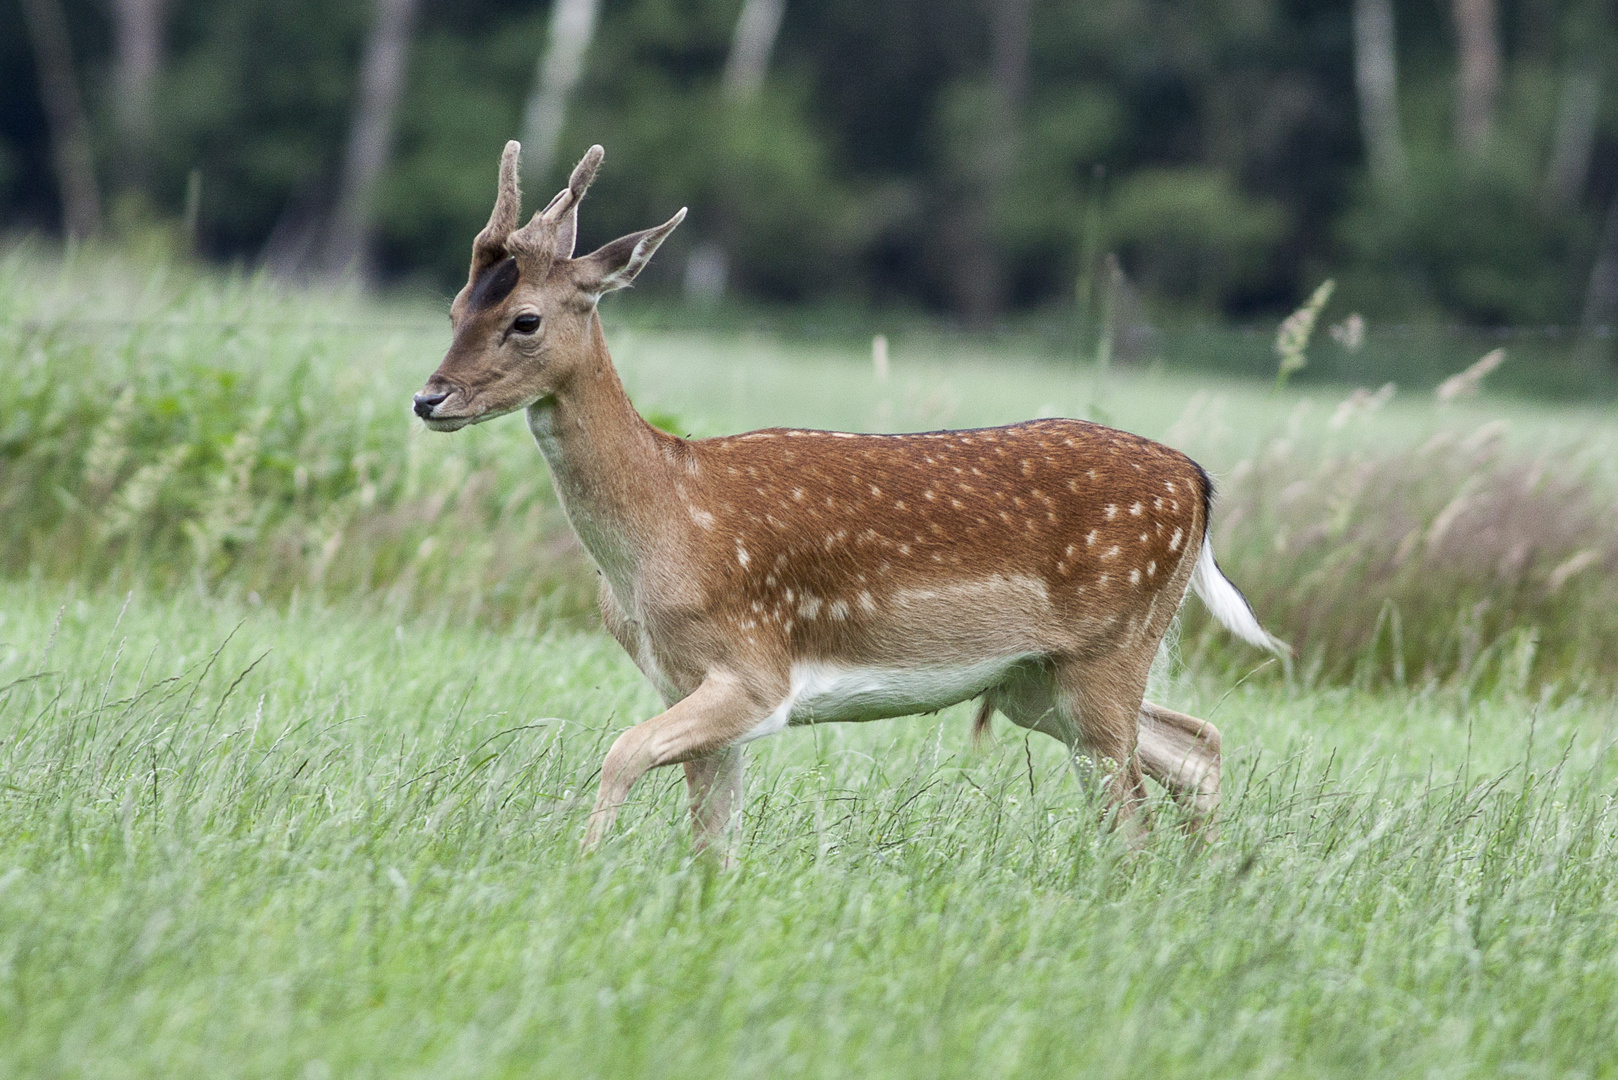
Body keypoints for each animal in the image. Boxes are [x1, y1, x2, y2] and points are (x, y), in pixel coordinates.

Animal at [414, 141, 1287, 854]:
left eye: (525, 319)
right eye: (455, 307)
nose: (429, 398)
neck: (663, 522)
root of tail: (1199, 483)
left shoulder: (755, 667)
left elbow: (621, 751)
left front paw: (586, 863)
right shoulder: (683, 680)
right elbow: (711, 841)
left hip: (1109, 648)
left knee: (1133, 816)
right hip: (1035, 684)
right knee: (1195, 748)